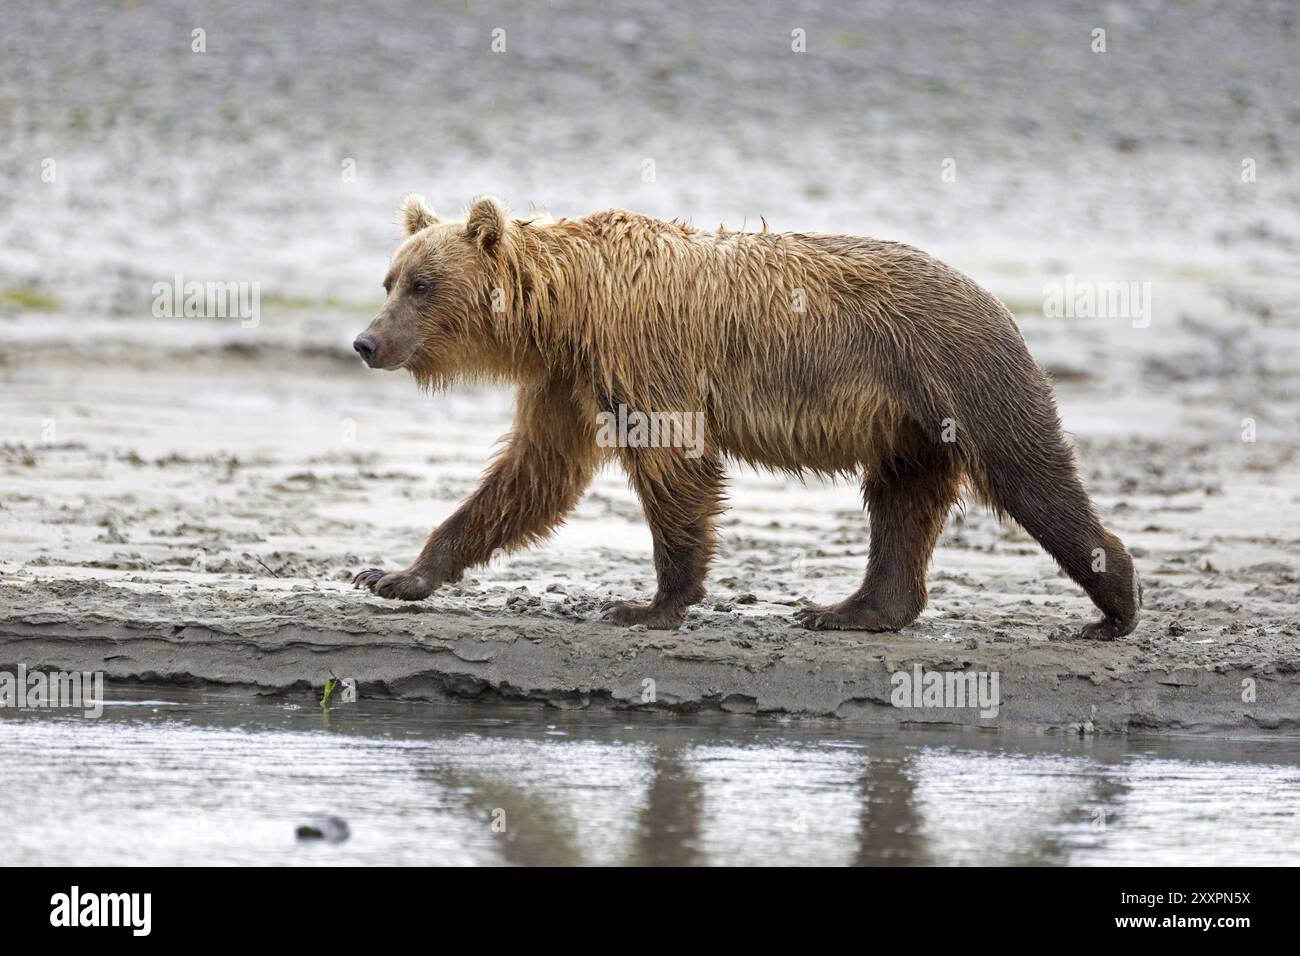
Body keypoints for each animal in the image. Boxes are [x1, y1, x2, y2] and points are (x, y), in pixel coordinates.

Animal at [351, 195, 1144, 639]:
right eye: (389, 279)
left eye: (422, 285)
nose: (366, 341)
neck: (566, 311)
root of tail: (994, 298)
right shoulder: (569, 381)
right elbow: (531, 477)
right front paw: (395, 574)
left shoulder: (642, 353)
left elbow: (675, 467)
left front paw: (648, 605)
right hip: (911, 425)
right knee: (902, 502)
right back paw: (852, 608)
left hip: (959, 370)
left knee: (1027, 472)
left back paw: (1114, 604)